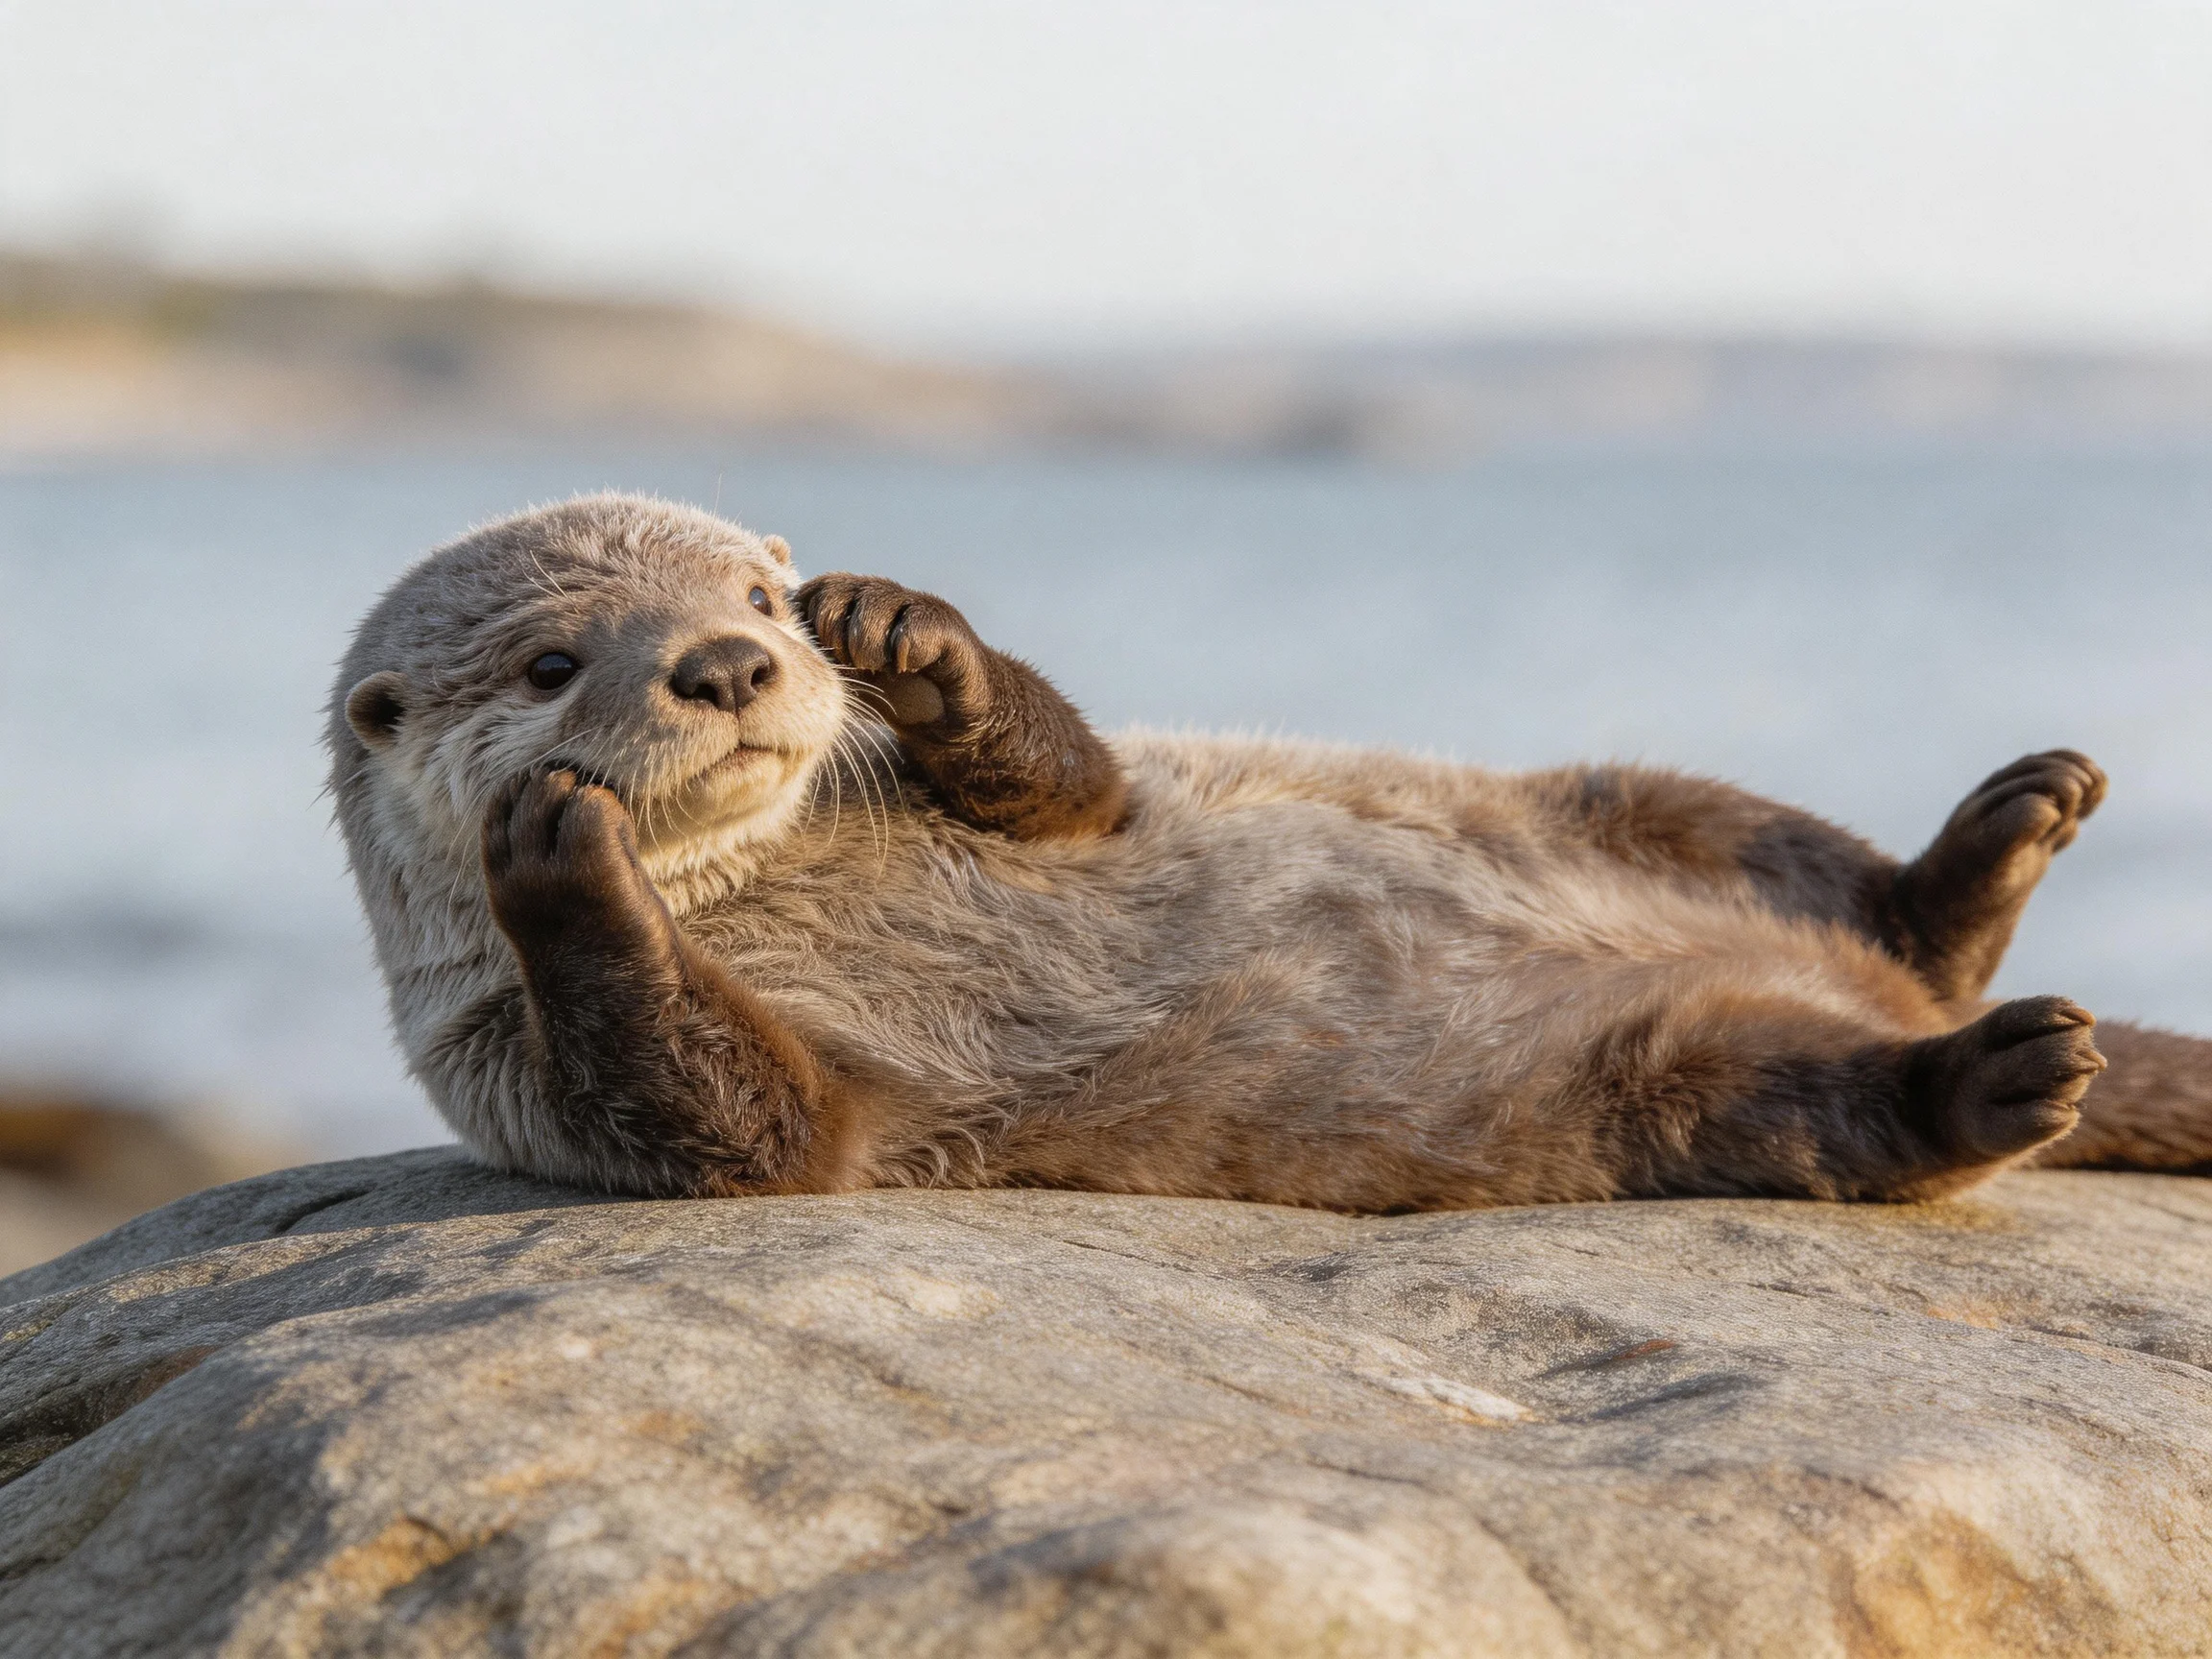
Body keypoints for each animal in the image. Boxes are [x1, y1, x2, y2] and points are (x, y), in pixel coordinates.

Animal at [329, 493, 2212, 1209]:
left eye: (756, 597)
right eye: (551, 665)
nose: (727, 663)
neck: (785, 887)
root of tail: (1851, 989)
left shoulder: (1067, 808)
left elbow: (1075, 786)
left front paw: (914, 636)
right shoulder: (506, 1069)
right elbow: (743, 1121)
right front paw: (564, 858)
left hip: (1632, 795)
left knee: (1812, 858)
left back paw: (2000, 841)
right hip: (1672, 1084)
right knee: (1834, 1112)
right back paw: (1991, 1072)